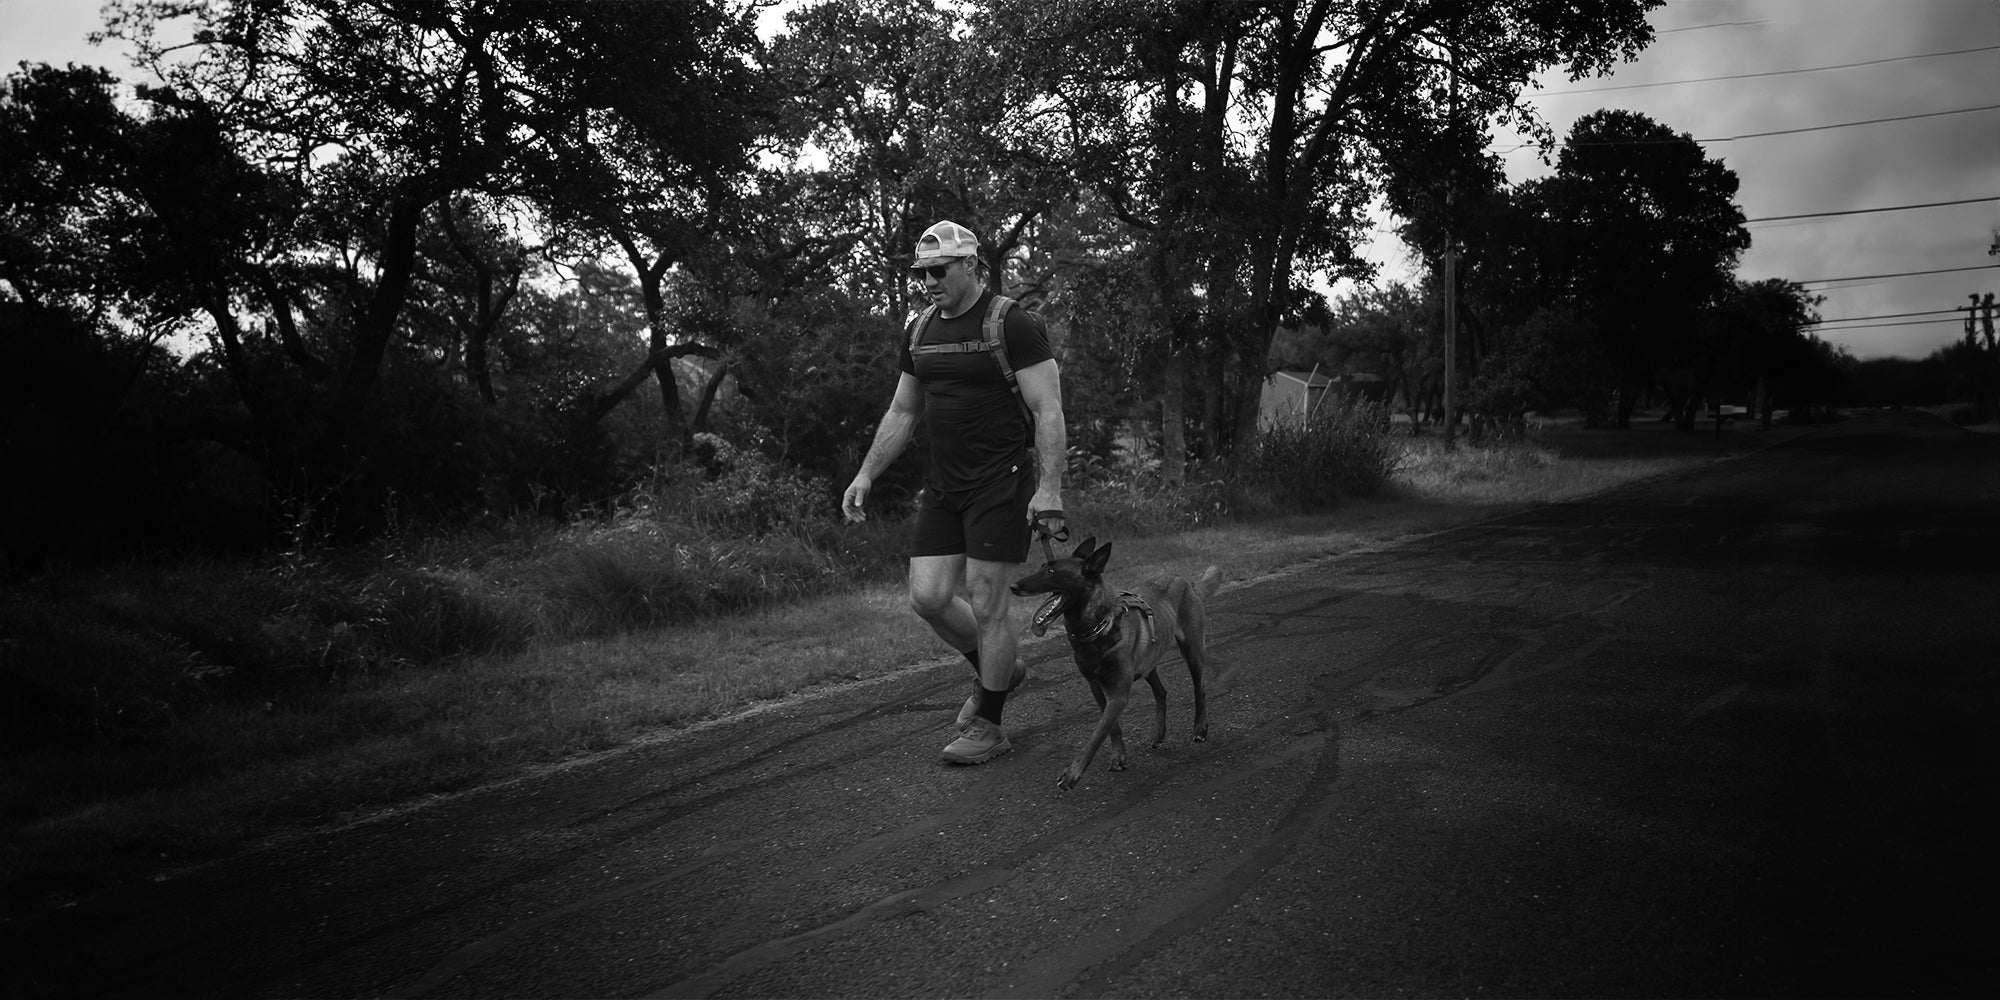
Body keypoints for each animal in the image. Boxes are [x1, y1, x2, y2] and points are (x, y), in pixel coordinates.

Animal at [1008, 540, 1224, 788]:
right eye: (1042, 566)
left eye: (1051, 571)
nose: (1013, 586)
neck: (1096, 631)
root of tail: (1185, 580)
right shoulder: (1097, 688)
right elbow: (1112, 728)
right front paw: (1118, 756)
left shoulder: (1118, 696)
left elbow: (1097, 734)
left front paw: (1073, 773)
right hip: (1148, 664)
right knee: (1161, 692)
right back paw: (1159, 733)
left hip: (1193, 651)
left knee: (1200, 688)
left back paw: (1200, 727)